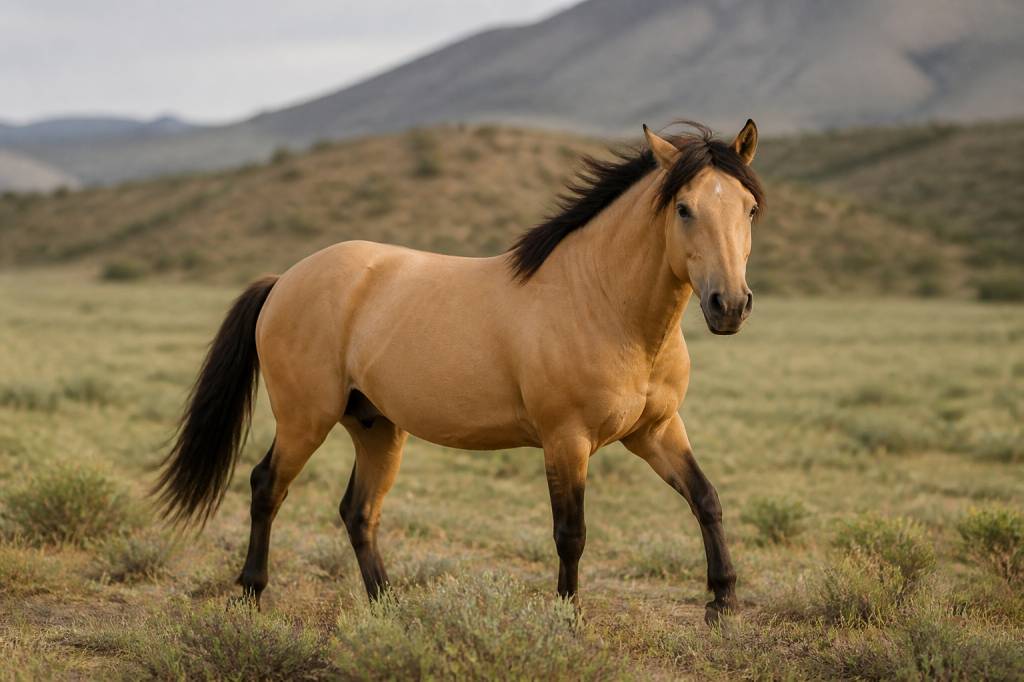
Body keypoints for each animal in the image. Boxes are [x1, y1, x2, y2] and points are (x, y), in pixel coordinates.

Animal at [154, 119, 765, 623]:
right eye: (683, 208)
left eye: (749, 209)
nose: (729, 305)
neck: (604, 303)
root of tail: (285, 279)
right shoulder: (566, 441)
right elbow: (571, 534)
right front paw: (568, 617)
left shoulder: (656, 431)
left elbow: (706, 498)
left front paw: (723, 601)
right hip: (306, 419)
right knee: (266, 487)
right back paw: (252, 594)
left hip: (376, 427)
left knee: (358, 511)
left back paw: (388, 606)